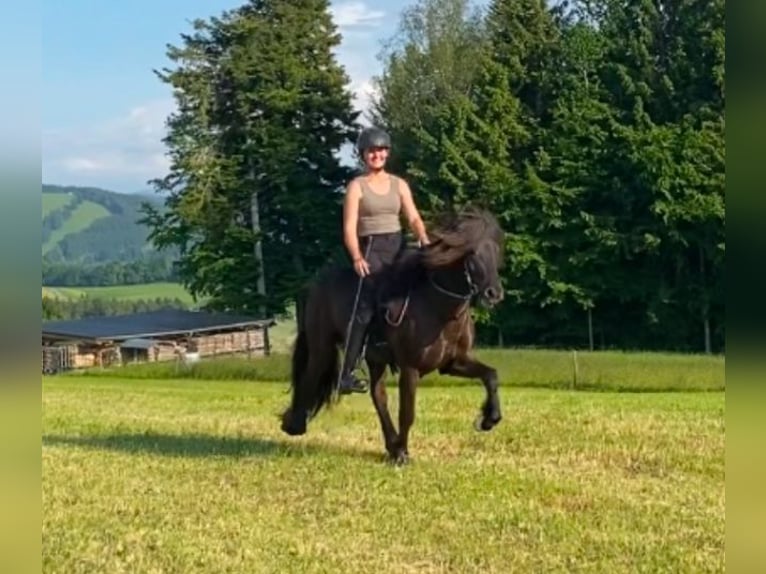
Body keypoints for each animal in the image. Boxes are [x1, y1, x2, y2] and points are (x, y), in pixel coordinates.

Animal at [280, 207, 508, 468]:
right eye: (472, 254)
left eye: (496, 251)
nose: (494, 294)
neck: (438, 308)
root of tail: (315, 284)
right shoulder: (410, 368)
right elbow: (407, 413)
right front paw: (402, 453)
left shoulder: (453, 363)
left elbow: (491, 376)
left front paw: (489, 419)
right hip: (322, 346)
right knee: (310, 375)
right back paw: (295, 424)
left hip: (374, 359)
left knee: (377, 395)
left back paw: (389, 444)